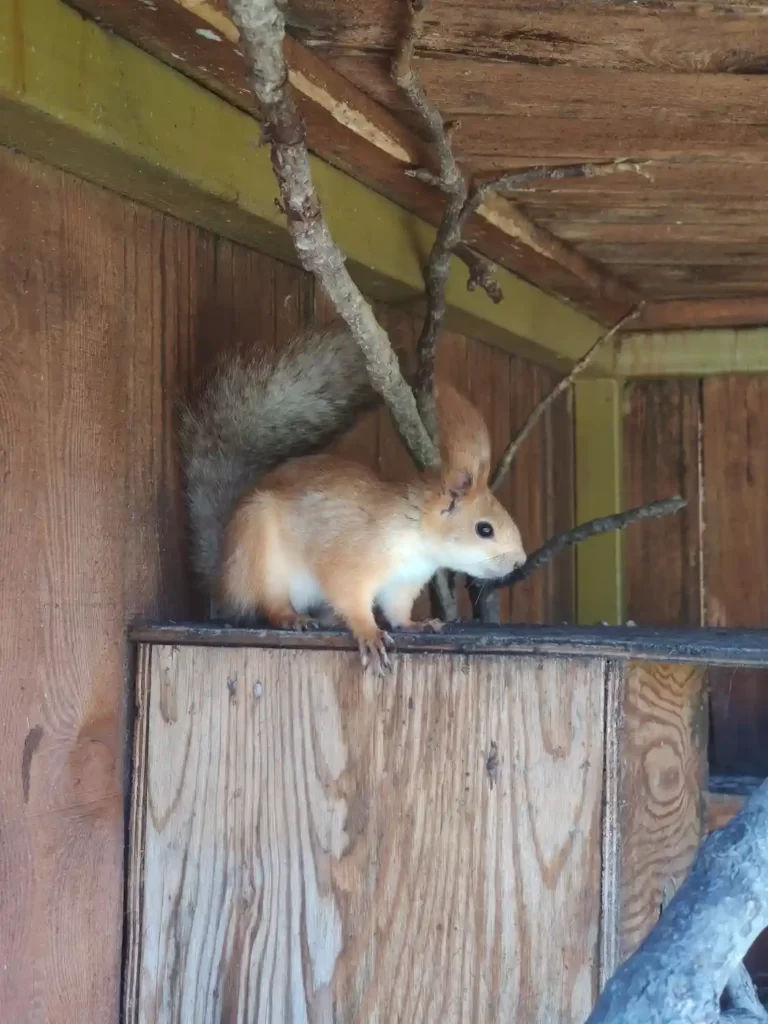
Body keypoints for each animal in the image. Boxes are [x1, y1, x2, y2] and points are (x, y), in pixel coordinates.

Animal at [180, 323, 526, 672]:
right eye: (484, 529)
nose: (520, 562)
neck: (416, 536)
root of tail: (222, 579)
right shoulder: (351, 558)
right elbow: (350, 597)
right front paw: (368, 633)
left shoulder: (401, 584)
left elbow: (397, 611)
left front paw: (417, 624)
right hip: (260, 558)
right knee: (268, 602)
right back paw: (292, 617)